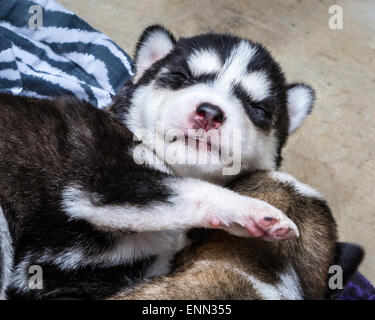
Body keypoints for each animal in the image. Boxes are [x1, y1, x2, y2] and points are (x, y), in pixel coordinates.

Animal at [0, 26, 318, 298]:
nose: (209, 113)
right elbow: (192, 189)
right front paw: (256, 213)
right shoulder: (101, 182)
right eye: (180, 77)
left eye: (257, 108)